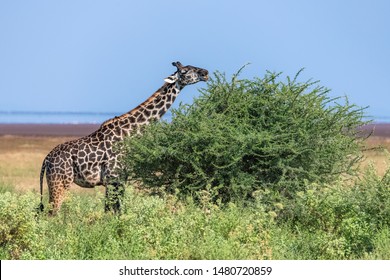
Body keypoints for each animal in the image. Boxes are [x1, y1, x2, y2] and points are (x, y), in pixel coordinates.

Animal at [39, 61, 209, 214]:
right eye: (185, 71)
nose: (205, 73)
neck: (130, 132)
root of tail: (46, 160)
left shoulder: (119, 179)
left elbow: (113, 210)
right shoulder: (114, 178)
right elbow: (114, 211)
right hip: (60, 182)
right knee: (52, 213)